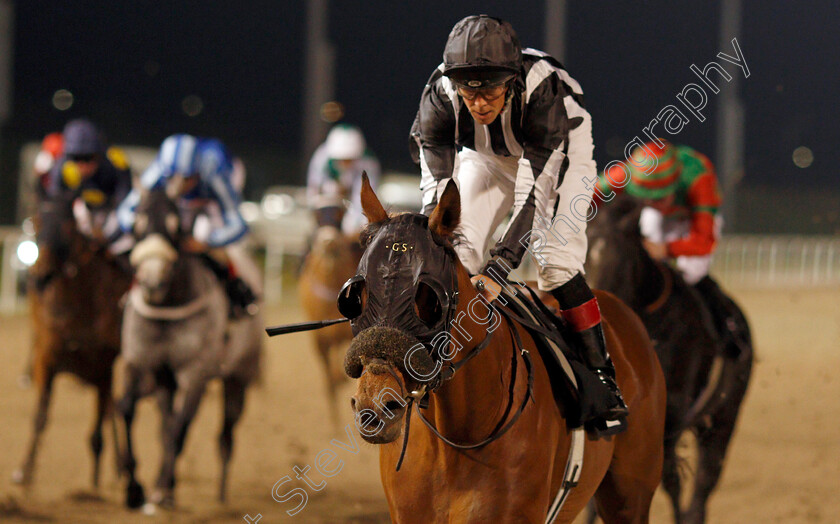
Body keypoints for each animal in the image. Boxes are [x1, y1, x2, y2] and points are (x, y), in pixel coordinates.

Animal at [13, 192, 133, 488]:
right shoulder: (47, 360)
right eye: (36, 223)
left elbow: (100, 427)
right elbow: (40, 417)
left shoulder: (103, 366)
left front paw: (100, 481)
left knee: (111, 409)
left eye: (68, 228)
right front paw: (24, 471)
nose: (42, 274)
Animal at [117, 182, 262, 510]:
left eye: (175, 226)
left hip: (239, 378)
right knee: (165, 427)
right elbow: (128, 410)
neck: (168, 305)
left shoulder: (195, 373)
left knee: (225, 437)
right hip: (164, 382)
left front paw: (163, 490)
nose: (152, 281)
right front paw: (135, 489)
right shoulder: (141, 363)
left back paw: (220, 496)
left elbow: (181, 429)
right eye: (138, 223)